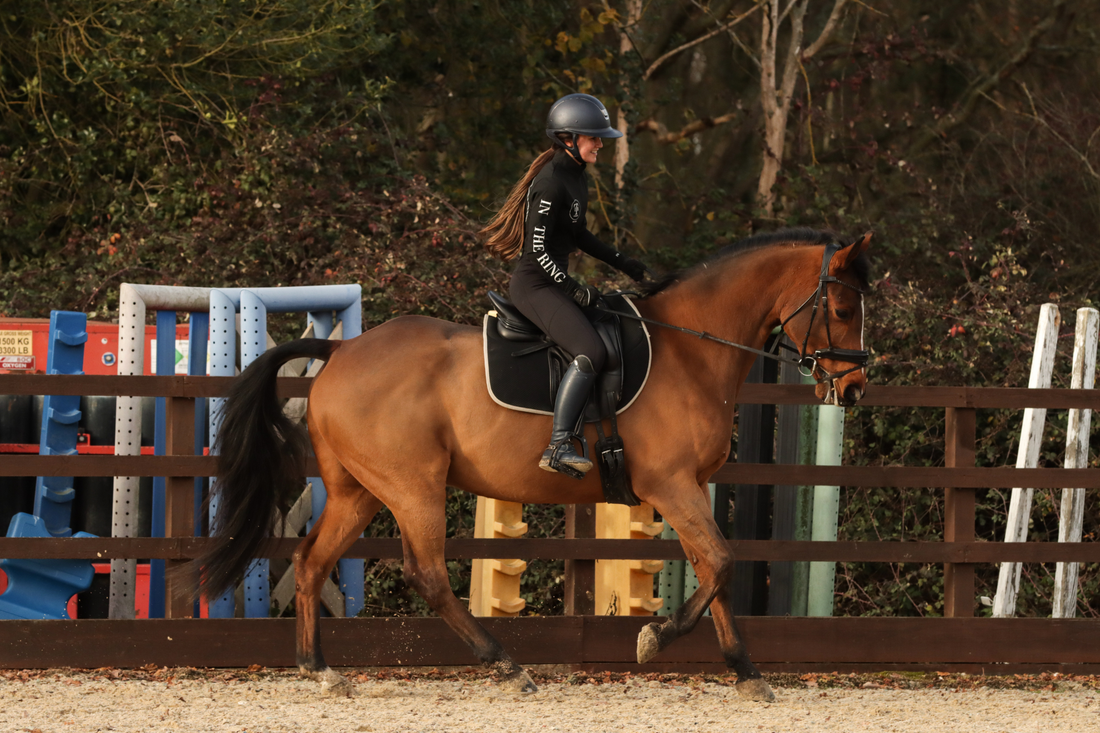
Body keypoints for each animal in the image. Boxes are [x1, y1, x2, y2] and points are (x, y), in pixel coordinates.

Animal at [195, 227, 873, 701]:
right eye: (842, 311)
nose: (856, 386)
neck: (691, 348)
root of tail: (341, 352)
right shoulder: (671, 485)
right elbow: (724, 563)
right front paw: (654, 639)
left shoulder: (694, 488)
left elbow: (716, 568)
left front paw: (746, 672)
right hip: (413, 487)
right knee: (427, 572)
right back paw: (507, 666)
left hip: (357, 493)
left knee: (312, 562)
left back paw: (320, 670)